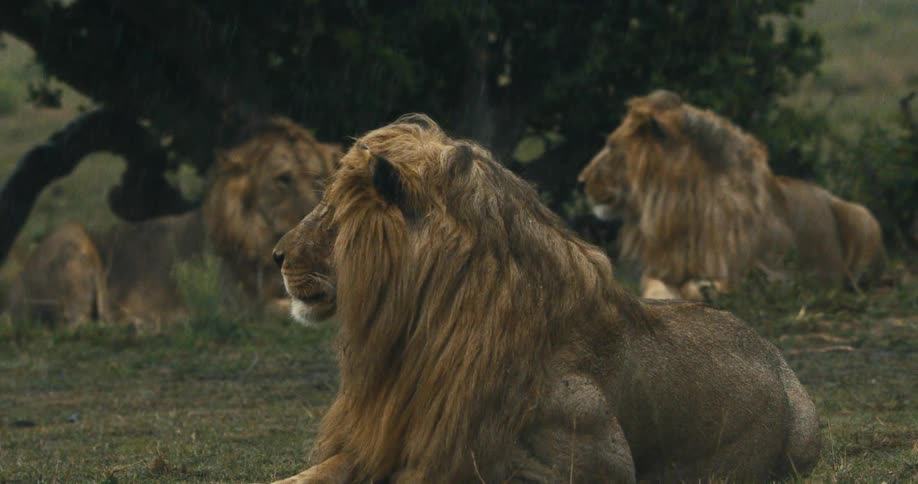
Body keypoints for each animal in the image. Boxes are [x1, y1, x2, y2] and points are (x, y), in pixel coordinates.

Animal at [6, 117, 341, 326]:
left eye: (320, 179)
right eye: (283, 179)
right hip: (72, 236)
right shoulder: (239, 306)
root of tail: (12, 289)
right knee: (78, 323)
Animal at [271, 114, 820, 482]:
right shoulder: (380, 440)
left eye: (333, 214)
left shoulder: (604, 463)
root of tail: (774, 352)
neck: (423, 327)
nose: (276, 255)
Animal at [578, 90, 885, 300]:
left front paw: (701, 289)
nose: (582, 180)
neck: (684, 206)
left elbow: (728, 284)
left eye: (612, 146)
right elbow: (655, 285)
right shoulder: (661, 266)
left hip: (862, 215)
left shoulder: (775, 274)